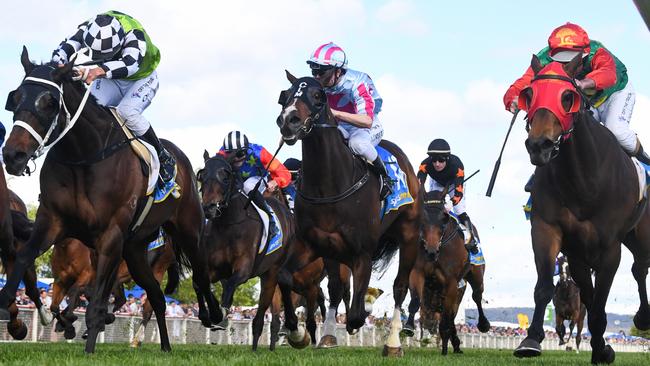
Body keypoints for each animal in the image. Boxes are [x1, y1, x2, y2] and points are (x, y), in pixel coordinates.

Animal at [0, 47, 220, 354]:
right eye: (15, 97)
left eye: (49, 102)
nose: (13, 155)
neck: (84, 155)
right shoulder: (52, 222)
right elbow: (22, 259)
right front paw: (11, 312)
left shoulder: (110, 236)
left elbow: (95, 299)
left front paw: (88, 341)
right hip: (136, 250)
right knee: (156, 298)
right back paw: (164, 346)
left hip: (189, 231)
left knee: (200, 275)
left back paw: (214, 314)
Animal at [196, 152, 310, 352]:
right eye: (202, 176)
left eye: (225, 177)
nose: (209, 208)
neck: (229, 224)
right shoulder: (215, 269)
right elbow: (200, 284)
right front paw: (209, 314)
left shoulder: (244, 269)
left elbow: (230, 284)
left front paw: (220, 314)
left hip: (271, 273)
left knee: (266, 306)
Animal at [274, 73, 420, 356]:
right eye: (285, 94)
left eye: (318, 96)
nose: (288, 120)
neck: (330, 185)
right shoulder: (316, 244)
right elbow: (287, 277)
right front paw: (297, 333)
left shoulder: (362, 251)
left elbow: (356, 313)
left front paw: (360, 317)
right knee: (336, 288)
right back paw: (328, 335)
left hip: (408, 235)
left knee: (399, 287)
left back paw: (393, 343)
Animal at [412, 190, 488, 356]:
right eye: (422, 219)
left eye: (443, 220)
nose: (431, 251)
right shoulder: (421, 276)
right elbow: (418, 300)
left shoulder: (452, 284)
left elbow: (447, 316)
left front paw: (446, 346)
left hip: (476, 275)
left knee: (477, 296)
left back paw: (483, 324)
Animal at [512, 53, 648, 364]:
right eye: (529, 94)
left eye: (567, 96)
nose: (539, 145)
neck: (584, 177)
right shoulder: (551, 231)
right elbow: (546, 288)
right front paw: (531, 340)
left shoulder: (610, 247)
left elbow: (597, 304)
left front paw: (602, 349)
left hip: (641, 234)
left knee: (641, 267)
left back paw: (643, 318)